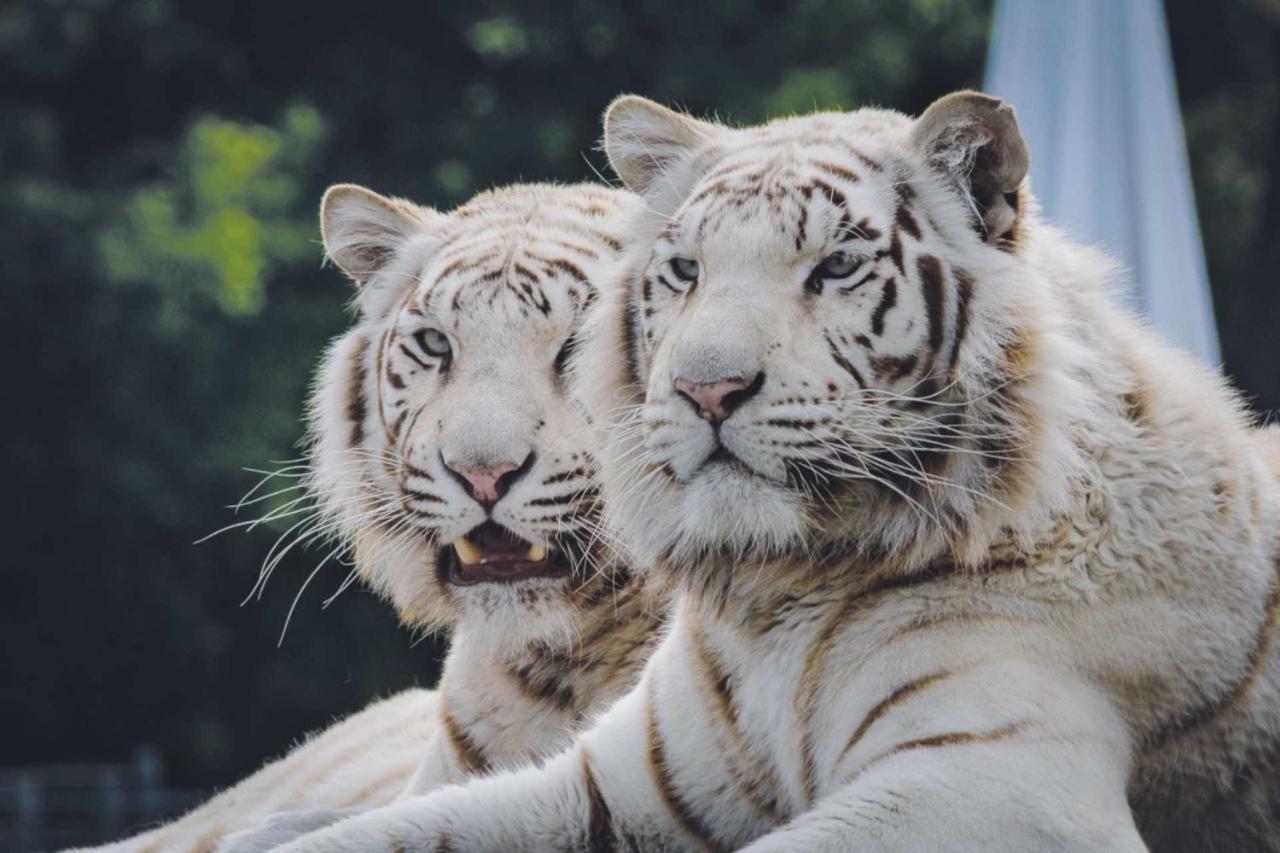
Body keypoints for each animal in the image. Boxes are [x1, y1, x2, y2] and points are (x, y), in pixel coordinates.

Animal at [275, 89, 1280, 845]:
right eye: (685, 269)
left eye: (835, 267)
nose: (706, 388)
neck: (783, 593)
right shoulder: (607, 783)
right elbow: (374, 832)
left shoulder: (994, 786)